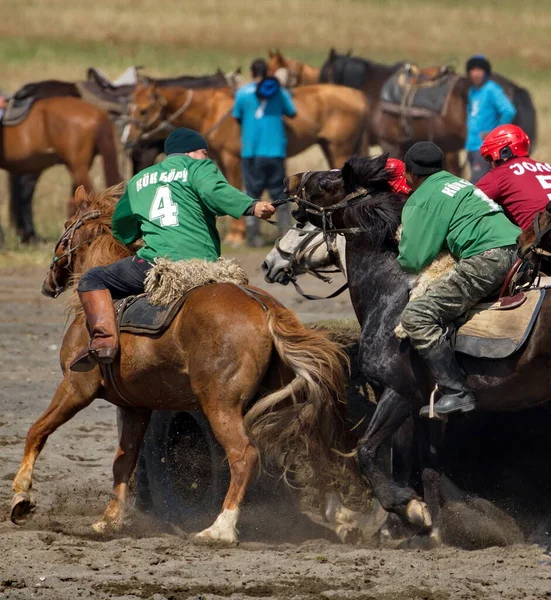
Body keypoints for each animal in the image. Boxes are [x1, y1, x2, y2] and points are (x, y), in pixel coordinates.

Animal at [8, 185, 352, 540]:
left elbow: (37, 431)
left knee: (243, 455)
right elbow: (124, 461)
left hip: (220, 404)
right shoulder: (135, 407)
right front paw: (109, 520)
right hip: (282, 396)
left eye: (66, 226)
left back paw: (220, 528)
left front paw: (21, 498)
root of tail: (266, 308)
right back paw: (340, 516)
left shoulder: (76, 387)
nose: (48, 283)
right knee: (313, 445)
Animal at [127, 81, 374, 244]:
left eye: (144, 110)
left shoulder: (233, 159)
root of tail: (358, 95)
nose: (128, 140)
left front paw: (237, 234)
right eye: (131, 107)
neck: (212, 110)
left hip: (340, 147)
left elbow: (235, 188)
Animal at [286, 156, 551, 548]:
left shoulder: (399, 393)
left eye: (325, 180)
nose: (290, 180)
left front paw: (406, 512)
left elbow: (370, 452)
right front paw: (435, 530)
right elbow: (429, 468)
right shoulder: (431, 409)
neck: (391, 289)